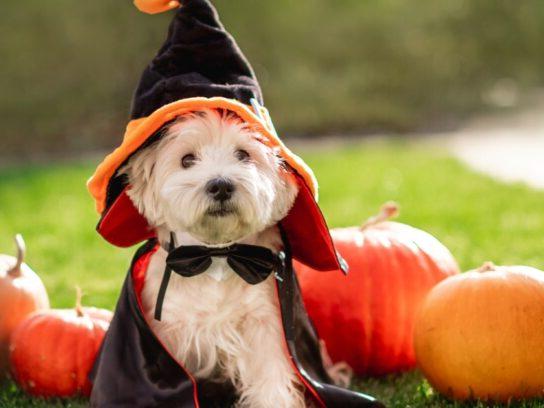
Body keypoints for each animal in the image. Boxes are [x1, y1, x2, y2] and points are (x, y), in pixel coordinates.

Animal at [122, 109, 306, 408]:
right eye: (187, 160)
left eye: (243, 154)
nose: (220, 186)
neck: (216, 254)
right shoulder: (168, 331)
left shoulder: (263, 324)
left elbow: (271, 380)